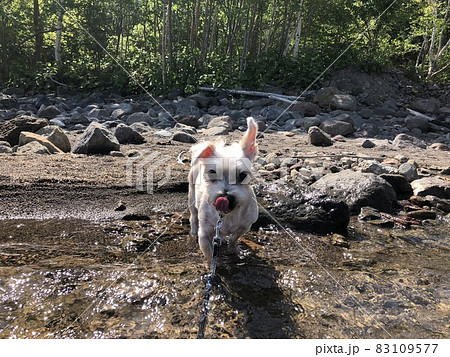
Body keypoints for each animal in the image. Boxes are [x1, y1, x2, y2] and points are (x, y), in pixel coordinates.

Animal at [188, 117, 258, 264]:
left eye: (242, 175)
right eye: (212, 172)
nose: (226, 197)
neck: (228, 215)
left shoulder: (245, 225)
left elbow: (234, 238)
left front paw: (234, 249)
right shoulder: (204, 234)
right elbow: (209, 253)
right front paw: (212, 264)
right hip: (191, 195)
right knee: (193, 215)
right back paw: (193, 229)